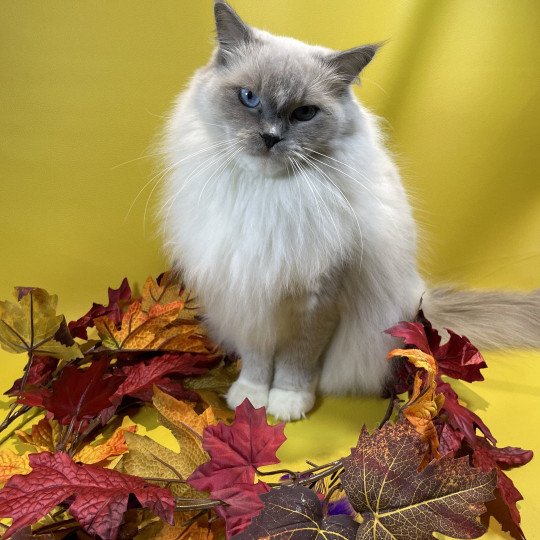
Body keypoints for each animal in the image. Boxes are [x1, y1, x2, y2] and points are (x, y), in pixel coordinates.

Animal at [161, 1, 540, 422]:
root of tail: (421, 295)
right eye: (248, 98)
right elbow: (257, 359)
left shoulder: (320, 301)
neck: (271, 197)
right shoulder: (247, 292)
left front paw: (287, 402)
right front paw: (251, 397)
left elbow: (297, 361)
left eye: (305, 113)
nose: (271, 137)